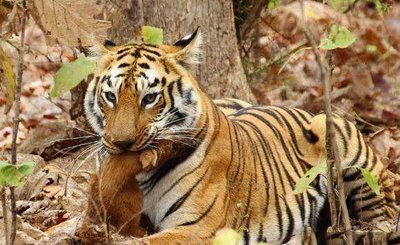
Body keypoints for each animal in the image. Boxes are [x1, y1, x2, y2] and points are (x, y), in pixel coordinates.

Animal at [84, 29, 396, 244]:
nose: (121, 143)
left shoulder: (197, 227)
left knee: (386, 209)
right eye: (111, 96)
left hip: (347, 149)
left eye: (149, 98)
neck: (141, 174)